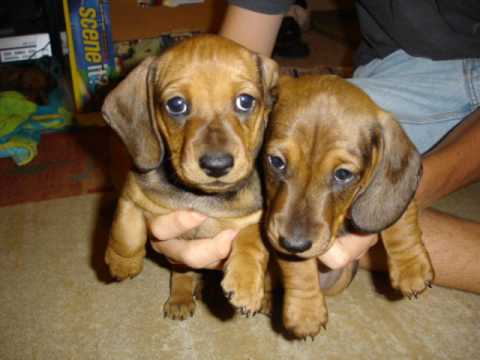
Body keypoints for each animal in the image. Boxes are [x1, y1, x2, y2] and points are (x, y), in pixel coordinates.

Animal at [103, 35, 280, 320]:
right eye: (176, 105)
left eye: (245, 101)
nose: (217, 166)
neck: (201, 197)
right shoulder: (133, 193)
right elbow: (125, 229)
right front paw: (123, 262)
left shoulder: (260, 220)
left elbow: (251, 239)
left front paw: (245, 285)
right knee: (182, 274)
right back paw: (181, 297)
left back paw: (266, 298)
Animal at [262, 74, 436, 338]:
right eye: (276, 161)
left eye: (343, 174)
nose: (293, 244)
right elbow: (298, 266)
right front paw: (305, 310)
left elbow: (401, 218)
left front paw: (411, 267)